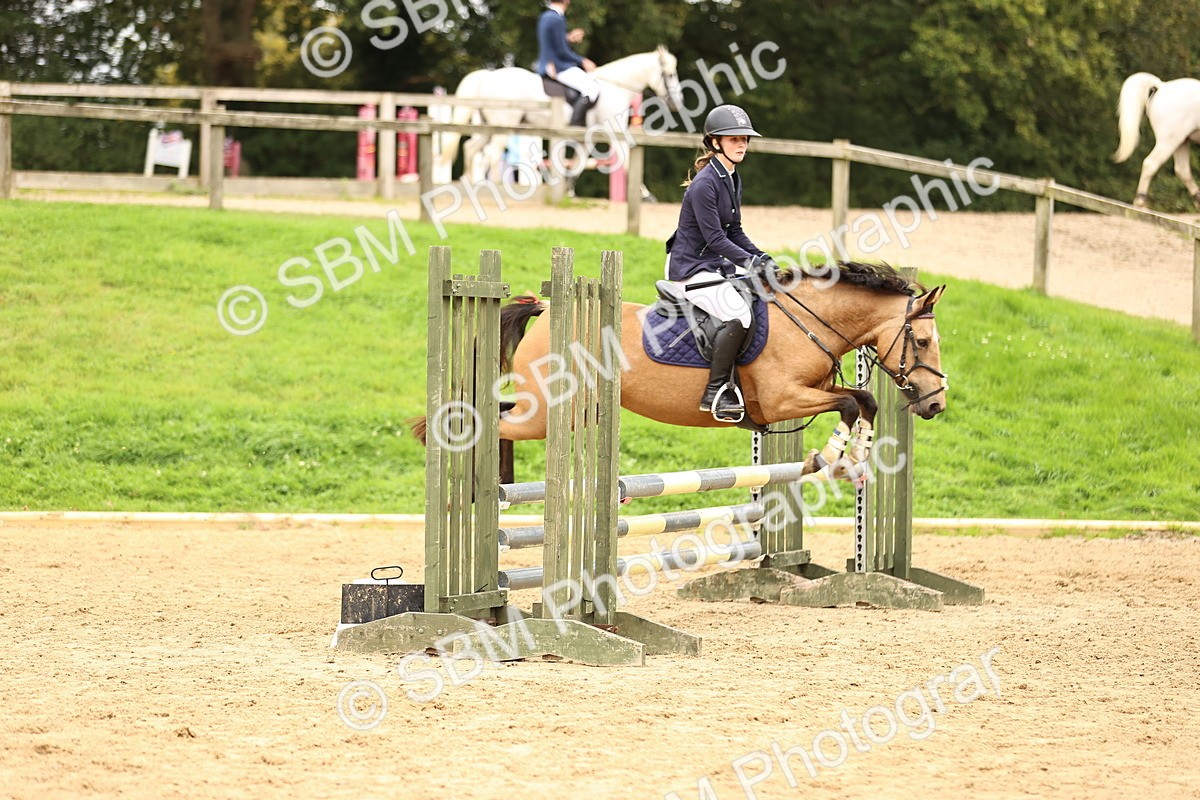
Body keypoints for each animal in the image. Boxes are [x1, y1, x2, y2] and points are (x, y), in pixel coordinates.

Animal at [412, 262, 948, 483]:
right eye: (922, 342)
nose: (936, 403)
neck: (807, 321)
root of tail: (547, 308)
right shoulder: (781, 399)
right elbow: (847, 404)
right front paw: (829, 457)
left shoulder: (807, 390)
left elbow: (863, 401)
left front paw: (854, 455)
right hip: (547, 413)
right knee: (493, 424)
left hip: (568, 410)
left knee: (499, 414)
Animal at [430, 47, 683, 185]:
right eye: (670, 74)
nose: (676, 103)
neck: (615, 87)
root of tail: (488, 76)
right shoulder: (614, 133)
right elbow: (626, 159)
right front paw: (644, 194)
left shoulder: (587, 137)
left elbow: (578, 163)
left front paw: (569, 190)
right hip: (504, 126)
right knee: (490, 155)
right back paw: (497, 186)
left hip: (487, 127)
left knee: (471, 148)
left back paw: (470, 183)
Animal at [1114, 72, 1200, 208]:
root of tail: (1162, 87)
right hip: (1169, 141)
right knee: (1150, 164)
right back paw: (1140, 201)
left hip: (1182, 141)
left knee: (1182, 170)